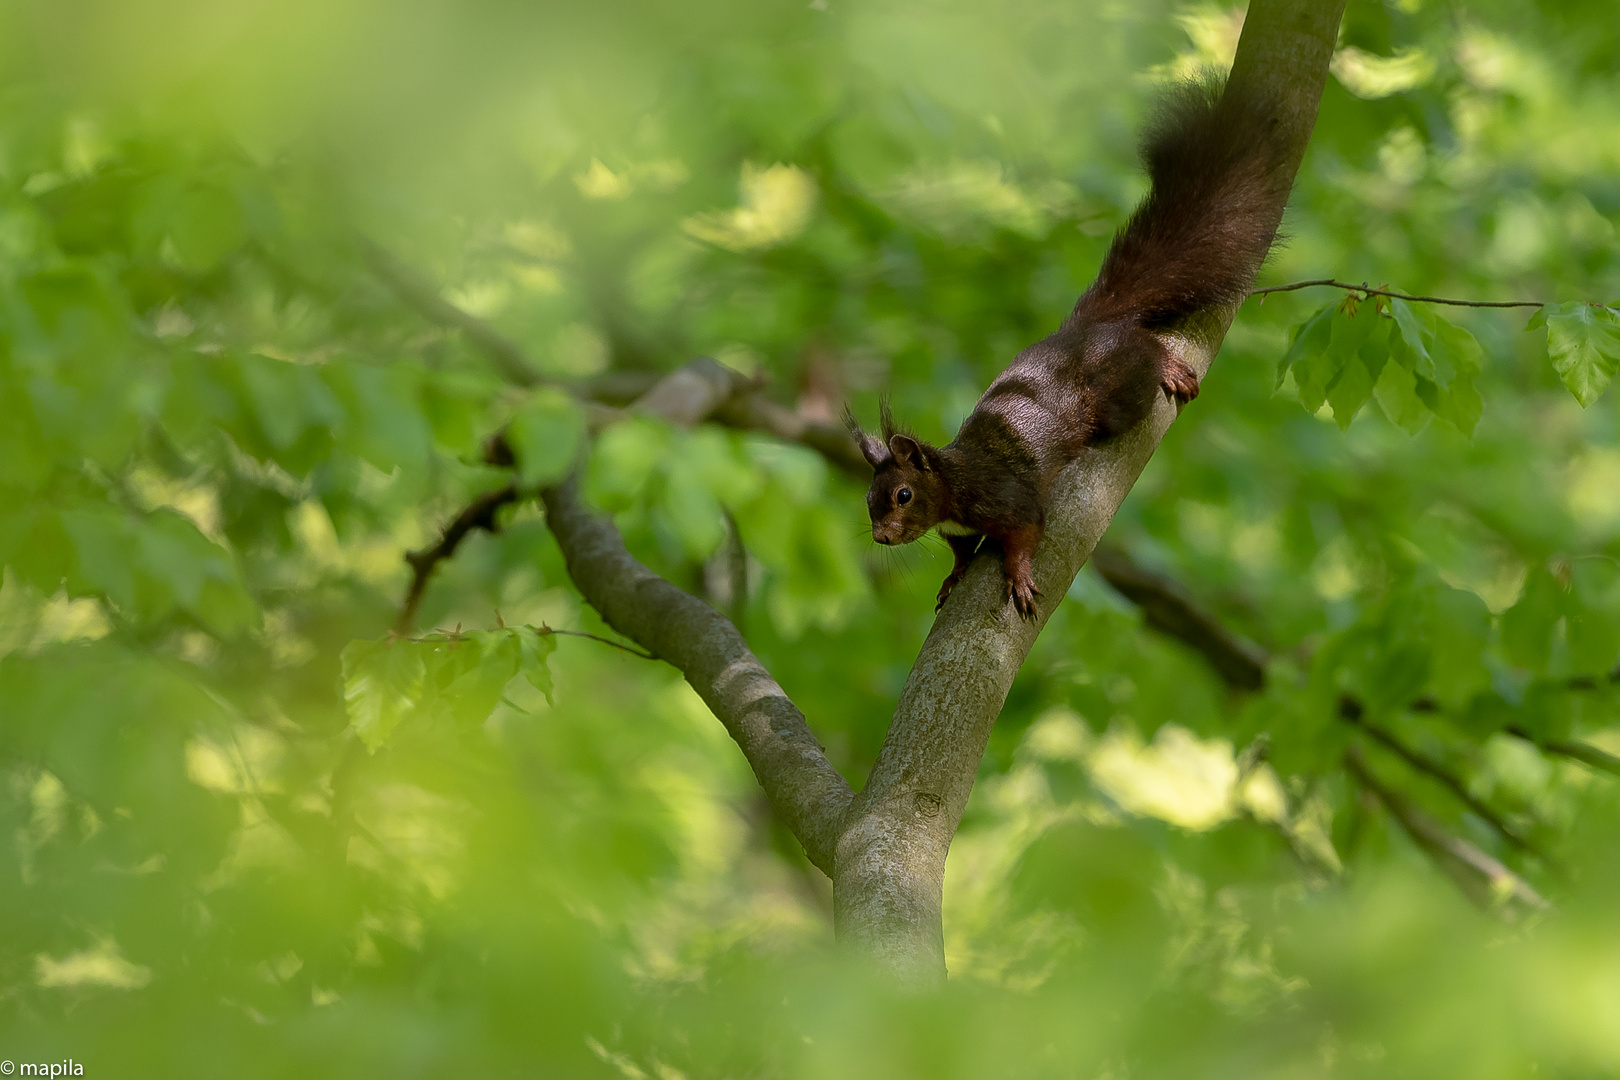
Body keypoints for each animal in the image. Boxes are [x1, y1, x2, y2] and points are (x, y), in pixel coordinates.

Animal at [848, 80, 1289, 621]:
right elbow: (960, 553)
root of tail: (1085, 329)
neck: (953, 484)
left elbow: (1026, 533)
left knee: (1142, 355)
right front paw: (952, 577)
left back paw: (1167, 365)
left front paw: (1018, 576)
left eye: (904, 494)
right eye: (869, 498)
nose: (882, 537)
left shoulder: (1008, 500)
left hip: (1117, 389)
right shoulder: (959, 532)